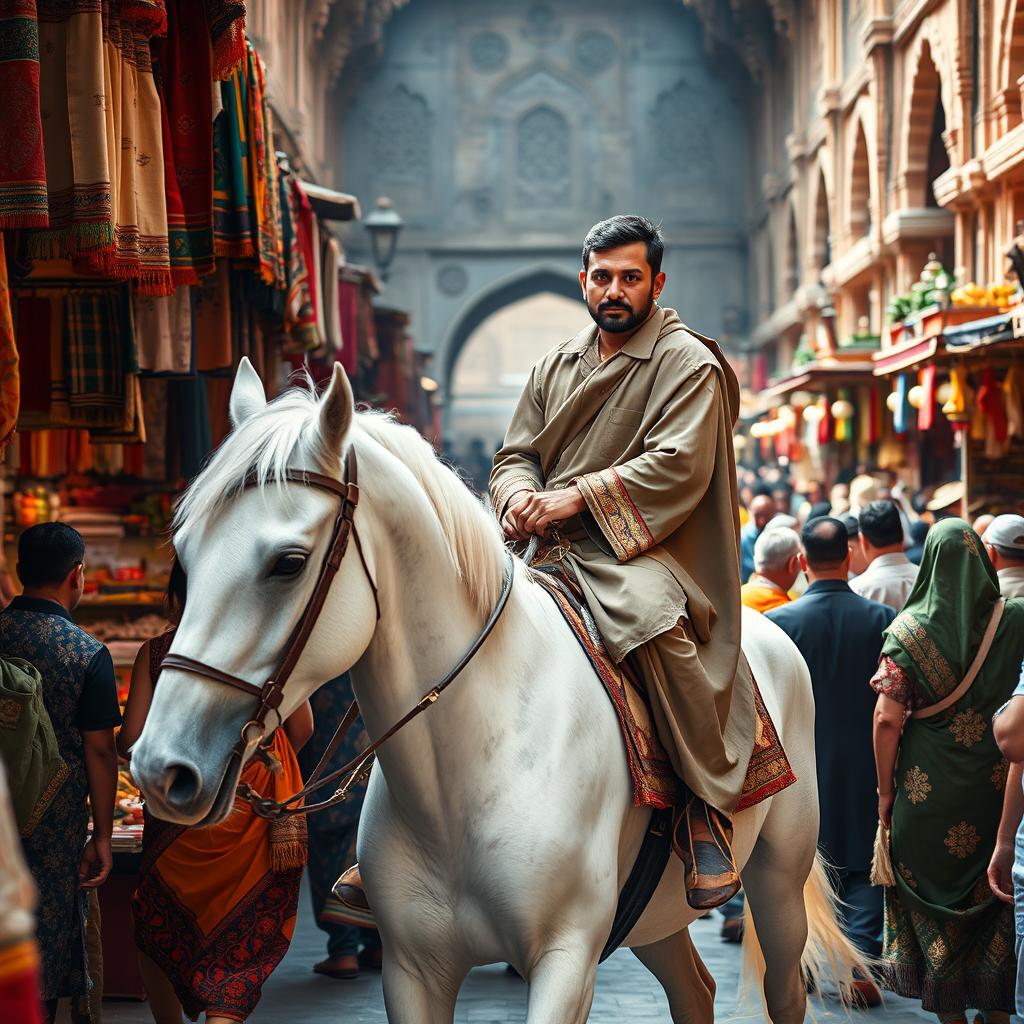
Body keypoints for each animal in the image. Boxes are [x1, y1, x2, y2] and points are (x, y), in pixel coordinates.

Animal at [128, 360, 864, 1024]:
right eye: (184, 556)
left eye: (288, 563)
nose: (161, 767)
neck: (469, 766)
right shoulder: (412, 970)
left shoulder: (566, 958)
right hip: (652, 914)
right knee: (695, 991)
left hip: (778, 874)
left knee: (783, 987)